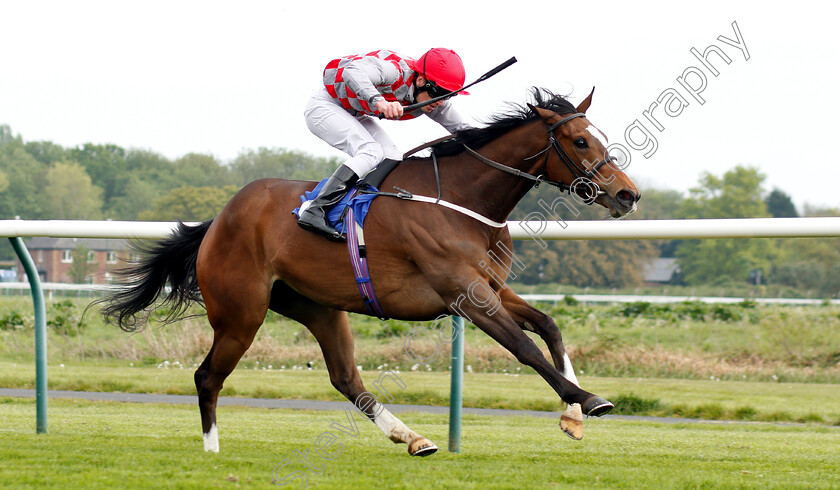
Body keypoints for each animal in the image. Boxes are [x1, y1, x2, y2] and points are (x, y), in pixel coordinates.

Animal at [101, 87, 640, 456]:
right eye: (580, 141)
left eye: (599, 137)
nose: (628, 194)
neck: (462, 198)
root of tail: (218, 220)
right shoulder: (463, 291)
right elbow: (525, 348)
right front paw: (586, 398)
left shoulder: (490, 286)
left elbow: (548, 325)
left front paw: (574, 414)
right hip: (241, 314)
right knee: (207, 376)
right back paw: (212, 450)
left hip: (318, 307)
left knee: (346, 379)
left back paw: (414, 438)